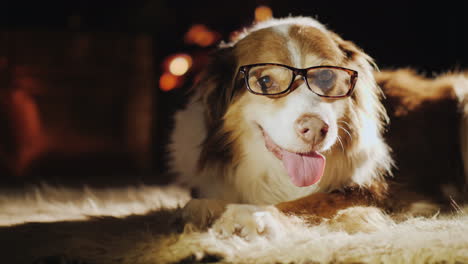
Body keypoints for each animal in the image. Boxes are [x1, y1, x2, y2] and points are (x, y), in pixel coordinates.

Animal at [169, 17, 468, 235]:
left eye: (325, 76)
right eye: (265, 81)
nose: (315, 129)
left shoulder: (378, 190)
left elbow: (311, 202)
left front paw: (253, 214)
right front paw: (204, 208)